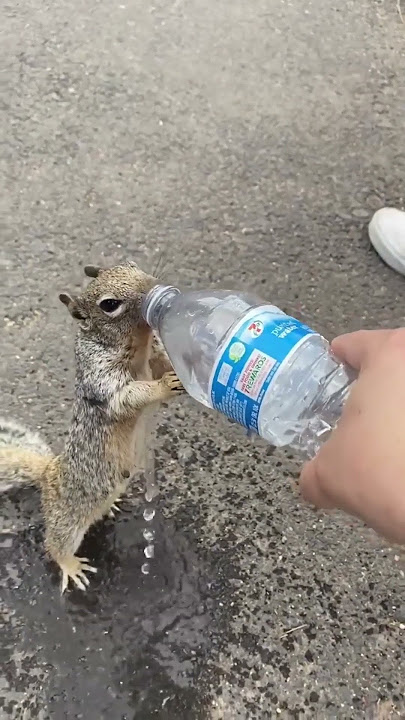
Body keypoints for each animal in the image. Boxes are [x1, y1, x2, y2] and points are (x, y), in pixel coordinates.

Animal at [0, 262, 183, 592]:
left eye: (131, 265)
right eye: (109, 305)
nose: (154, 285)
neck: (138, 344)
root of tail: (48, 474)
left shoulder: (154, 353)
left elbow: (163, 362)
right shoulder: (101, 379)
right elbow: (128, 396)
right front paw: (164, 386)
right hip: (67, 517)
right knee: (55, 543)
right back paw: (70, 566)